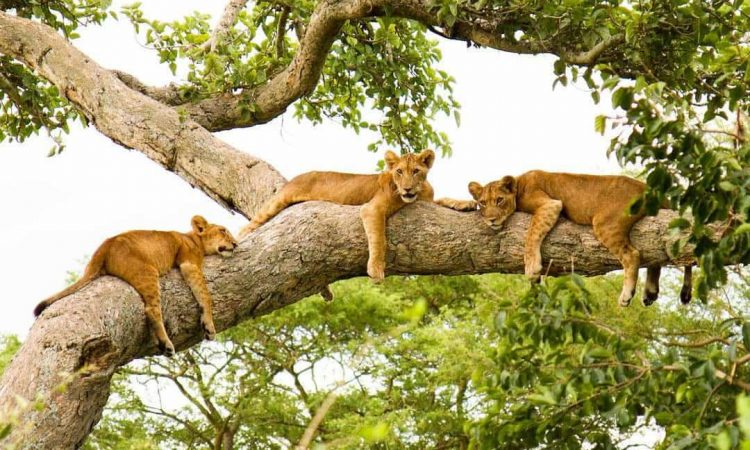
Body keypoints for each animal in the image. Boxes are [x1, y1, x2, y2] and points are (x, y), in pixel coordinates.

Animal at [35, 215, 238, 356]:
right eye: (223, 230)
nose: (235, 244)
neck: (193, 238)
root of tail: (104, 246)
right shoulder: (189, 263)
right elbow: (205, 295)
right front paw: (209, 326)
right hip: (147, 272)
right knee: (151, 309)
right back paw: (166, 344)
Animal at [241, 149, 438, 280]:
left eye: (416, 171)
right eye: (399, 171)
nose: (407, 188)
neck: (419, 192)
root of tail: (296, 177)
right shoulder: (372, 209)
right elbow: (378, 238)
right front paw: (375, 269)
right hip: (278, 201)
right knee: (248, 227)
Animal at [440, 171, 692, 308]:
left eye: (499, 200)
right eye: (483, 203)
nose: (491, 220)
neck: (519, 183)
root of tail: (648, 187)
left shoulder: (550, 204)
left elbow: (531, 234)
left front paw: (532, 268)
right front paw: (452, 202)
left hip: (605, 223)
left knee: (633, 255)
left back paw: (627, 295)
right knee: (655, 256)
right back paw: (650, 292)